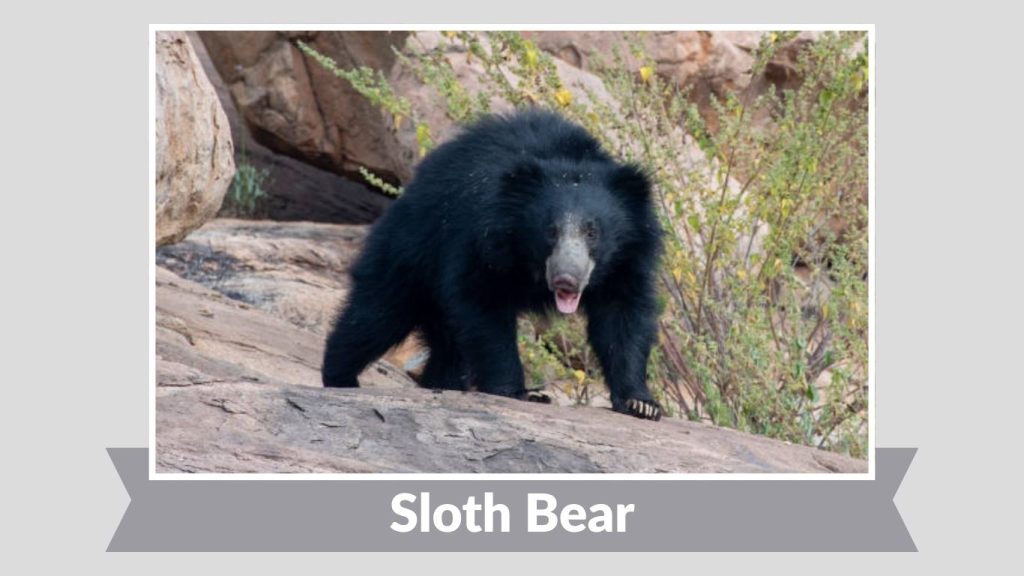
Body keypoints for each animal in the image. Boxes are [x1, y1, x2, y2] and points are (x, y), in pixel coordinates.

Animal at [322, 109, 664, 420]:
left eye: (593, 231)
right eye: (550, 231)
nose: (566, 279)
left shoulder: (628, 259)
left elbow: (622, 318)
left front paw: (641, 404)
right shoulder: (482, 240)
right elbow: (484, 306)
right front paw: (520, 393)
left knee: (445, 345)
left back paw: (441, 385)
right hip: (412, 248)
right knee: (377, 313)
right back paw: (340, 377)